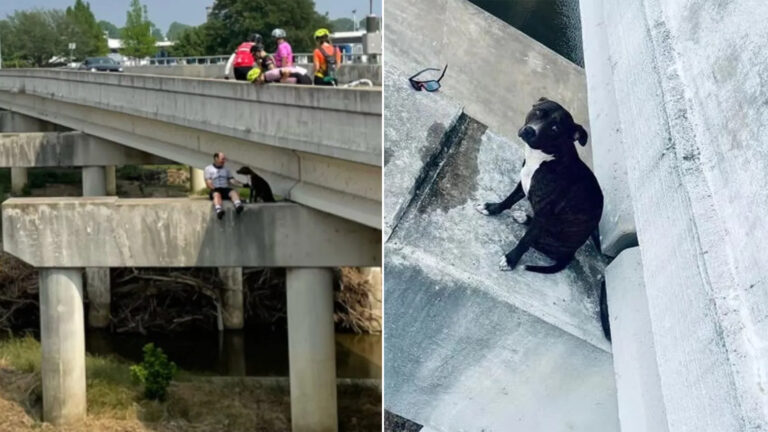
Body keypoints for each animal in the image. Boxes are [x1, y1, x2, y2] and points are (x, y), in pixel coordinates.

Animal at [476, 98, 604, 274]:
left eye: (555, 128)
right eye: (538, 112)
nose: (529, 131)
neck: (544, 157)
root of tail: (569, 255)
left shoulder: (544, 213)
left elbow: (525, 240)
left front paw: (511, 259)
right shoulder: (523, 183)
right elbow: (509, 200)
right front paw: (492, 208)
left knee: (536, 240)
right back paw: (524, 217)